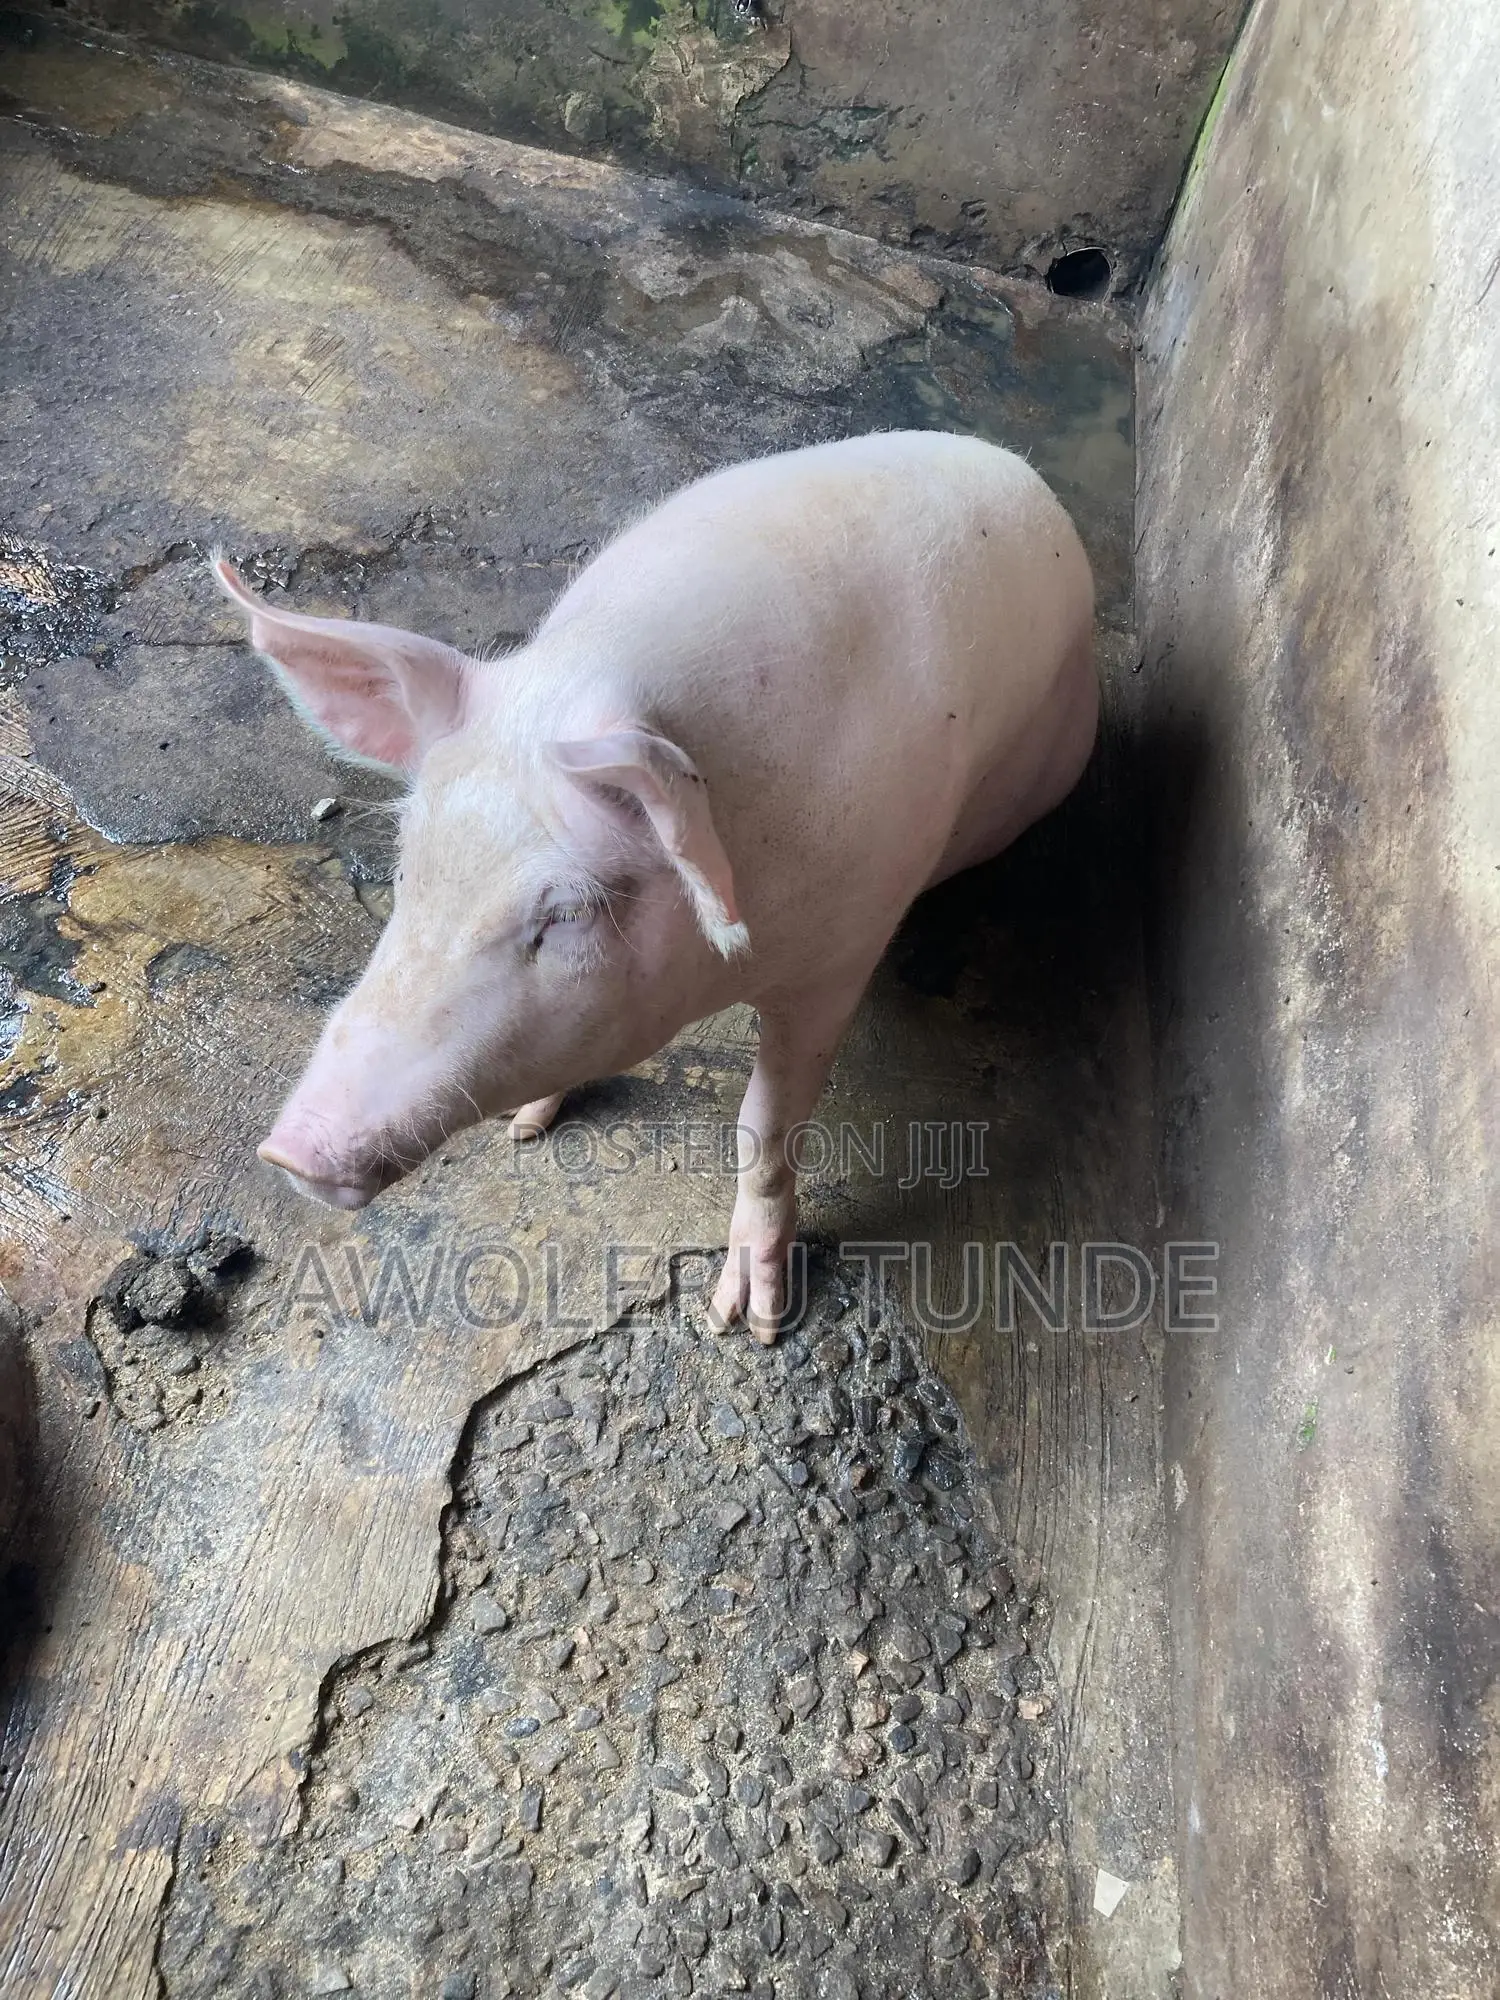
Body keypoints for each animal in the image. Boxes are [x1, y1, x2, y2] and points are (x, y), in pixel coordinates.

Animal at [216, 430, 1097, 1341]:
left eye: (564, 912)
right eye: (405, 864)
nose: (291, 1150)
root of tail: (1014, 466)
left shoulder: (844, 949)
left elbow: (764, 1127)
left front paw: (745, 1322)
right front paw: (523, 1131)